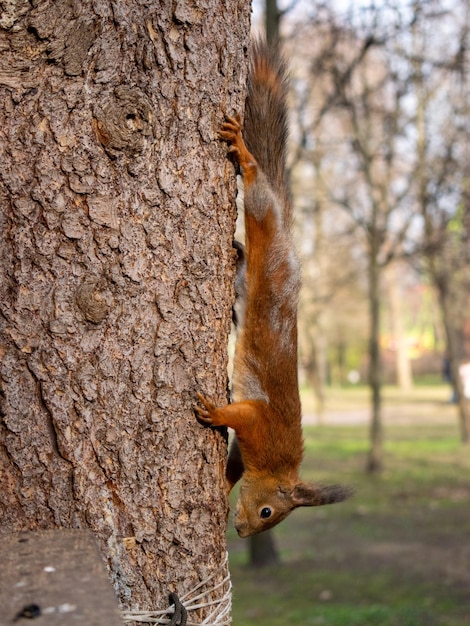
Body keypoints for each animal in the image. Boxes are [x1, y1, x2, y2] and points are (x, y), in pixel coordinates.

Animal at [193, 40, 350, 536]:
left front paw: (223, 488)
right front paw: (214, 413)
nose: (242, 531)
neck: (277, 466)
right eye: (267, 512)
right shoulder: (259, 426)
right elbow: (238, 415)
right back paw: (244, 154)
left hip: (246, 282)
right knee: (257, 184)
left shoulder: (247, 450)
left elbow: (233, 467)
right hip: (264, 214)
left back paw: (238, 252)